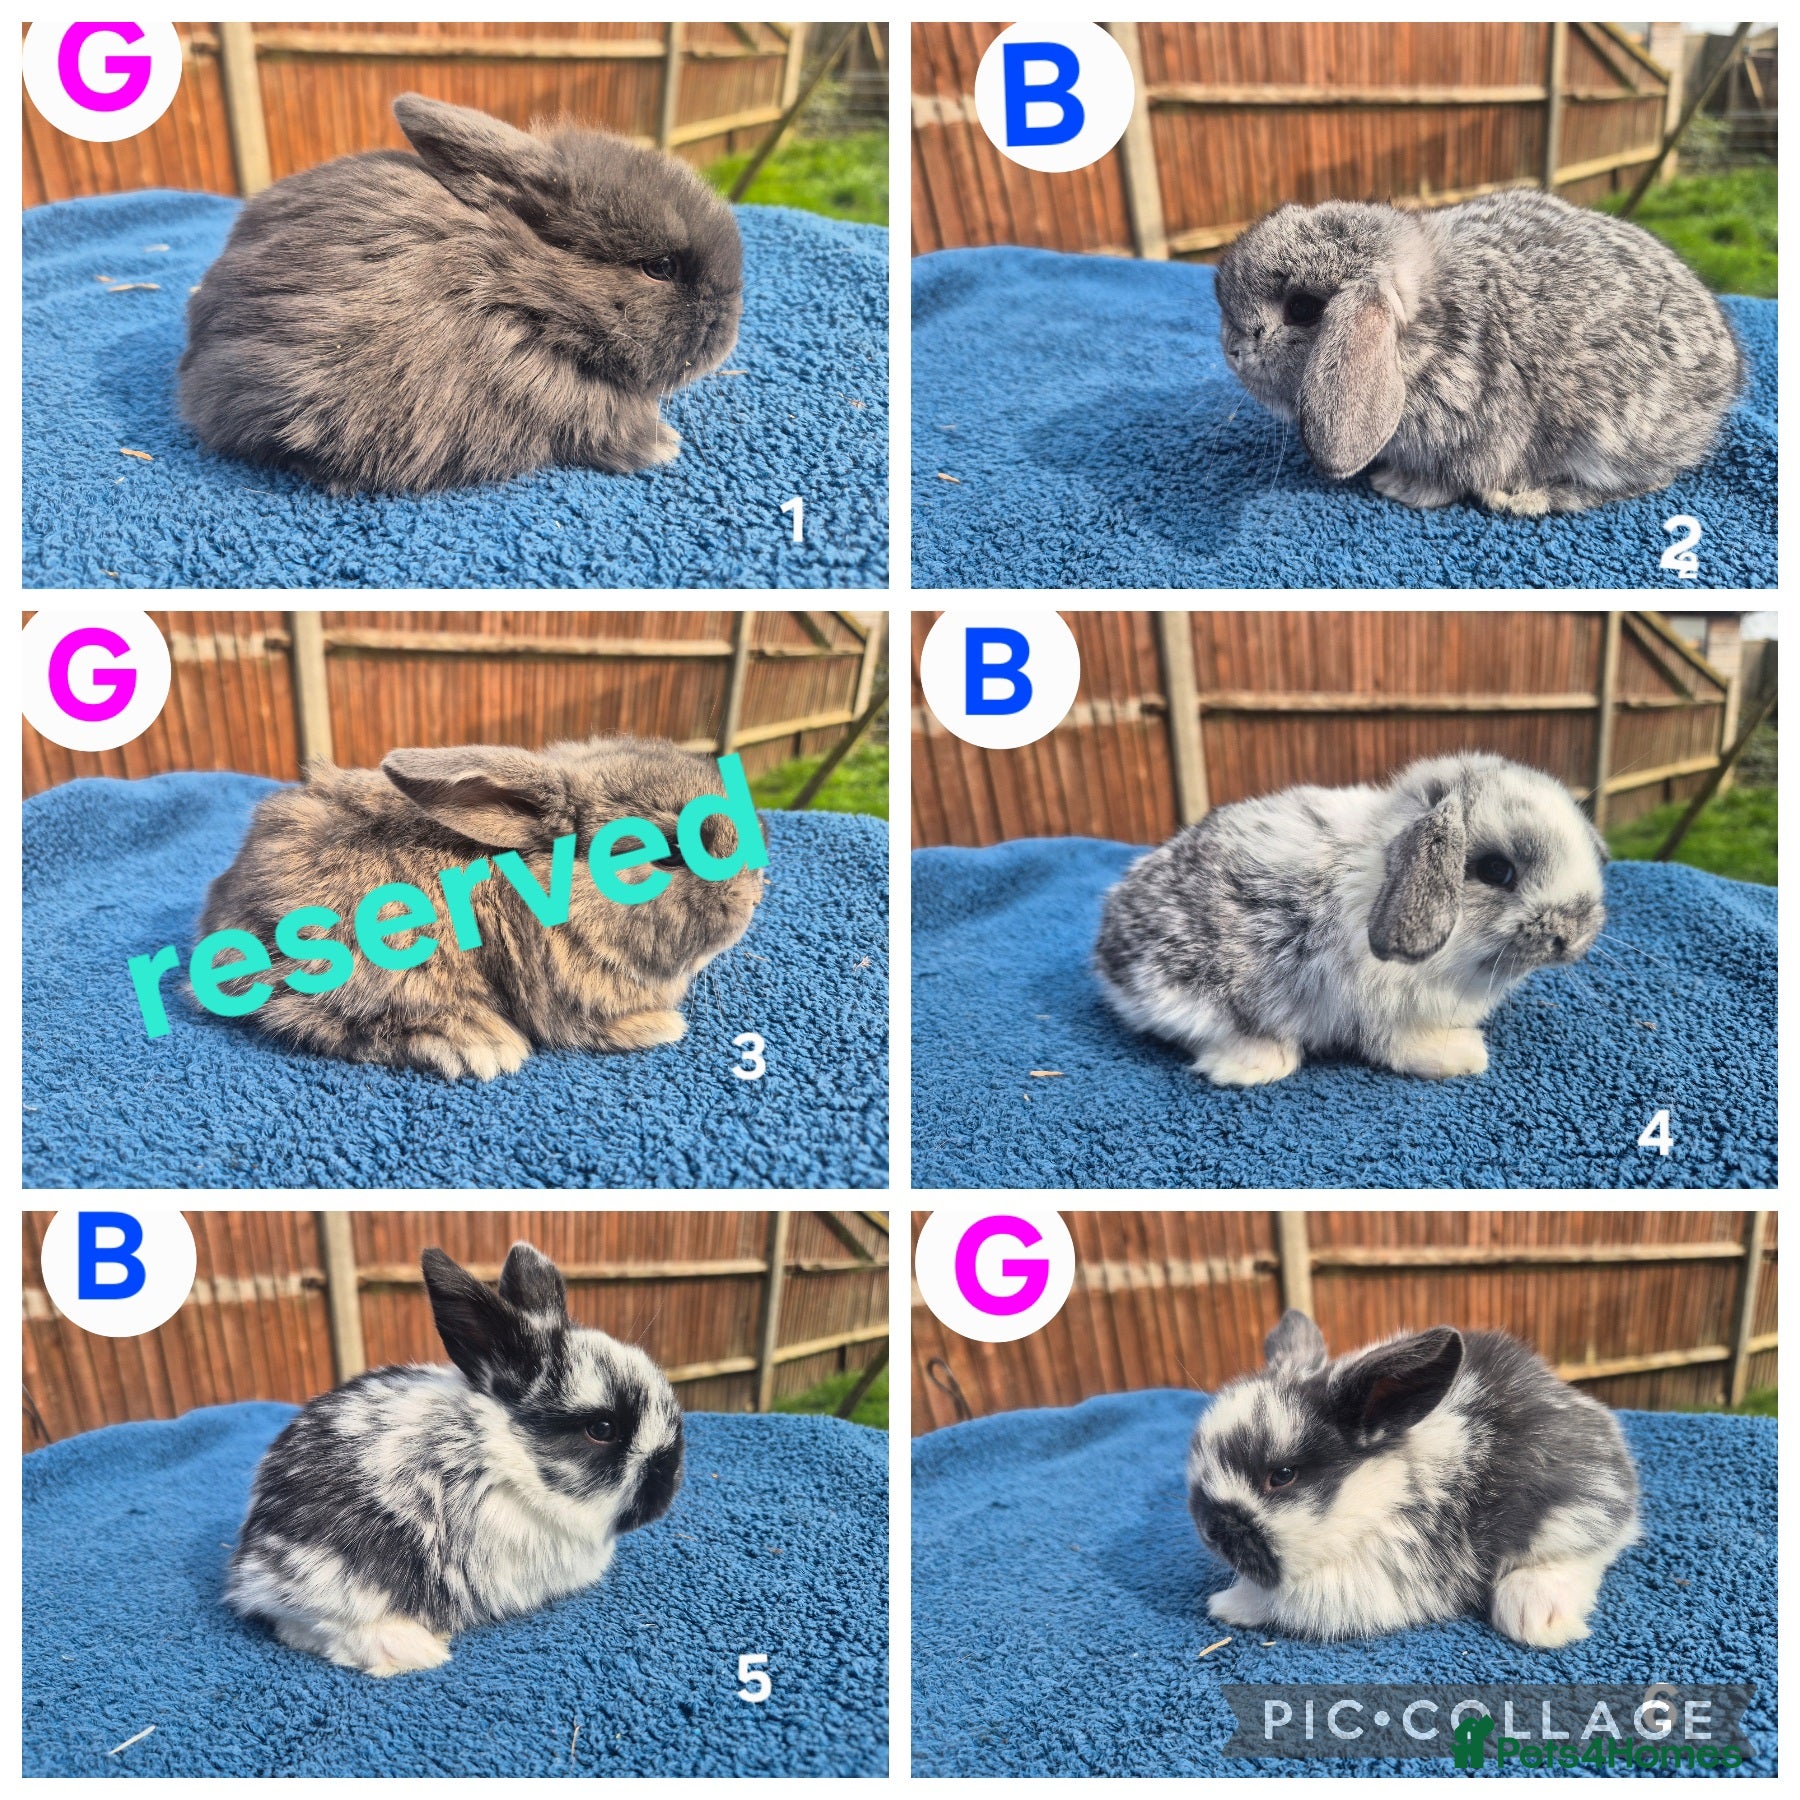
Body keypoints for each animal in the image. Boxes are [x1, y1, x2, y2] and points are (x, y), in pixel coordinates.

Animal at [225, 1241, 685, 1676]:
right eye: (602, 1429)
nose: (670, 1482)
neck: (506, 1458)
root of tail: (252, 1559)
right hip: (339, 1575)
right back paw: (413, 1650)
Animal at [1094, 752, 1605, 1086]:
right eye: (1496, 870)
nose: (1576, 933)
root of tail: (1105, 950)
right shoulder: (1383, 1010)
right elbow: (1397, 1044)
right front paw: (1464, 1056)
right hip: (1193, 994)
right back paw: (1255, 1064)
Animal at [1187, 1309, 1640, 1646]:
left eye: (1281, 1476)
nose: (1211, 1532)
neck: (1383, 1494)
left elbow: (1275, 1601)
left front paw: (1224, 1604)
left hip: (1574, 1510)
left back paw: (1537, 1616)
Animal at [1213, 188, 1743, 515]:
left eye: (1303, 309)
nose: (1234, 350)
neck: (1425, 337)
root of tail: (1725, 379)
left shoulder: (1470, 435)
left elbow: (1446, 482)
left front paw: (1397, 487)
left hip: (1610, 438)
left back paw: (1525, 498)